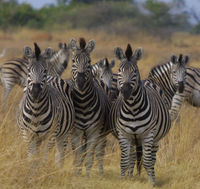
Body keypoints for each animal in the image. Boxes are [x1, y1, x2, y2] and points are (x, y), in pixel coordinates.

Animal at [69, 37, 111, 176]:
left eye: (89, 61)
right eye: (73, 61)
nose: (80, 81)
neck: (82, 103)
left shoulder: (94, 132)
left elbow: (89, 156)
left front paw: (87, 176)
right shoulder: (76, 132)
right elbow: (78, 155)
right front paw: (76, 174)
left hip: (102, 134)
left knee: (98, 152)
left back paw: (101, 173)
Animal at [110, 43, 187, 185]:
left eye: (134, 71)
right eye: (119, 70)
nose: (125, 91)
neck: (132, 108)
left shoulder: (148, 135)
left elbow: (146, 161)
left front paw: (152, 183)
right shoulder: (124, 135)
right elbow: (124, 161)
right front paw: (123, 181)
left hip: (155, 137)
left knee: (152, 158)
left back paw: (151, 176)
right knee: (133, 156)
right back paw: (131, 176)